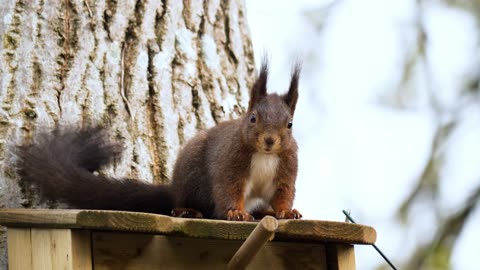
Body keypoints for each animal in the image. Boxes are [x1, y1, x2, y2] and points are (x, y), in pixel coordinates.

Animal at [16, 59, 302, 221]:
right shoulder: (230, 163)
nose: (270, 140)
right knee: (184, 202)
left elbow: (284, 193)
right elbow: (228, 189)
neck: (264, 155)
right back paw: (186, 211)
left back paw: (265, 212)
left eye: (290, 124)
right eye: (253, 118)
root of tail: (173, 188)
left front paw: (287, 212)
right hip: (191, 178)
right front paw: (236, 212)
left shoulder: (286, 169)